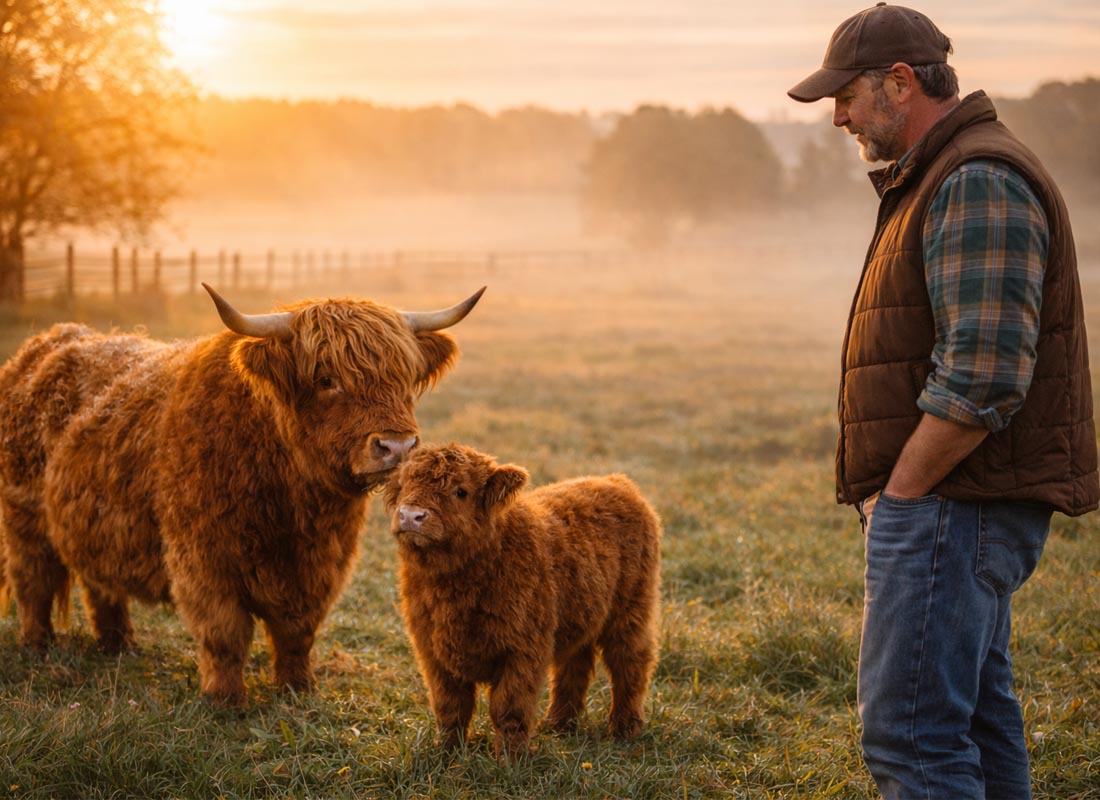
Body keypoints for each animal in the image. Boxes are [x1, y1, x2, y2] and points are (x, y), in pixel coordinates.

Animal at [0, 284, 483, 705]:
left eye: (405, 377)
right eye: (327, 379)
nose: (397, 446)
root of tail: (49, 341)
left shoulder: (321, 564)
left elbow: (297, 631)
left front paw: (298, 690)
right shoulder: (202, 560)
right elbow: (225, 634)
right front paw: (225, 700)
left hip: (95, 524)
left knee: (100, 584)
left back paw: (119, 646)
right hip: (24, 519)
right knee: (32, 582)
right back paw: (38, 646)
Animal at [384, 443, 661, 759]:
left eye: (460, 491)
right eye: (403, 484)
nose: (410, 515)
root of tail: (617, 481)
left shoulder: (523, 649)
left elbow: (509, 708)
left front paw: (510, 760)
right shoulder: (433, 651)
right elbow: (450, 706)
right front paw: (446, 753)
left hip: (632, 608)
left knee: (630, 661)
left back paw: (625, 729)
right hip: (580, 610)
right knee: (574, 664)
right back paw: (558, 725)